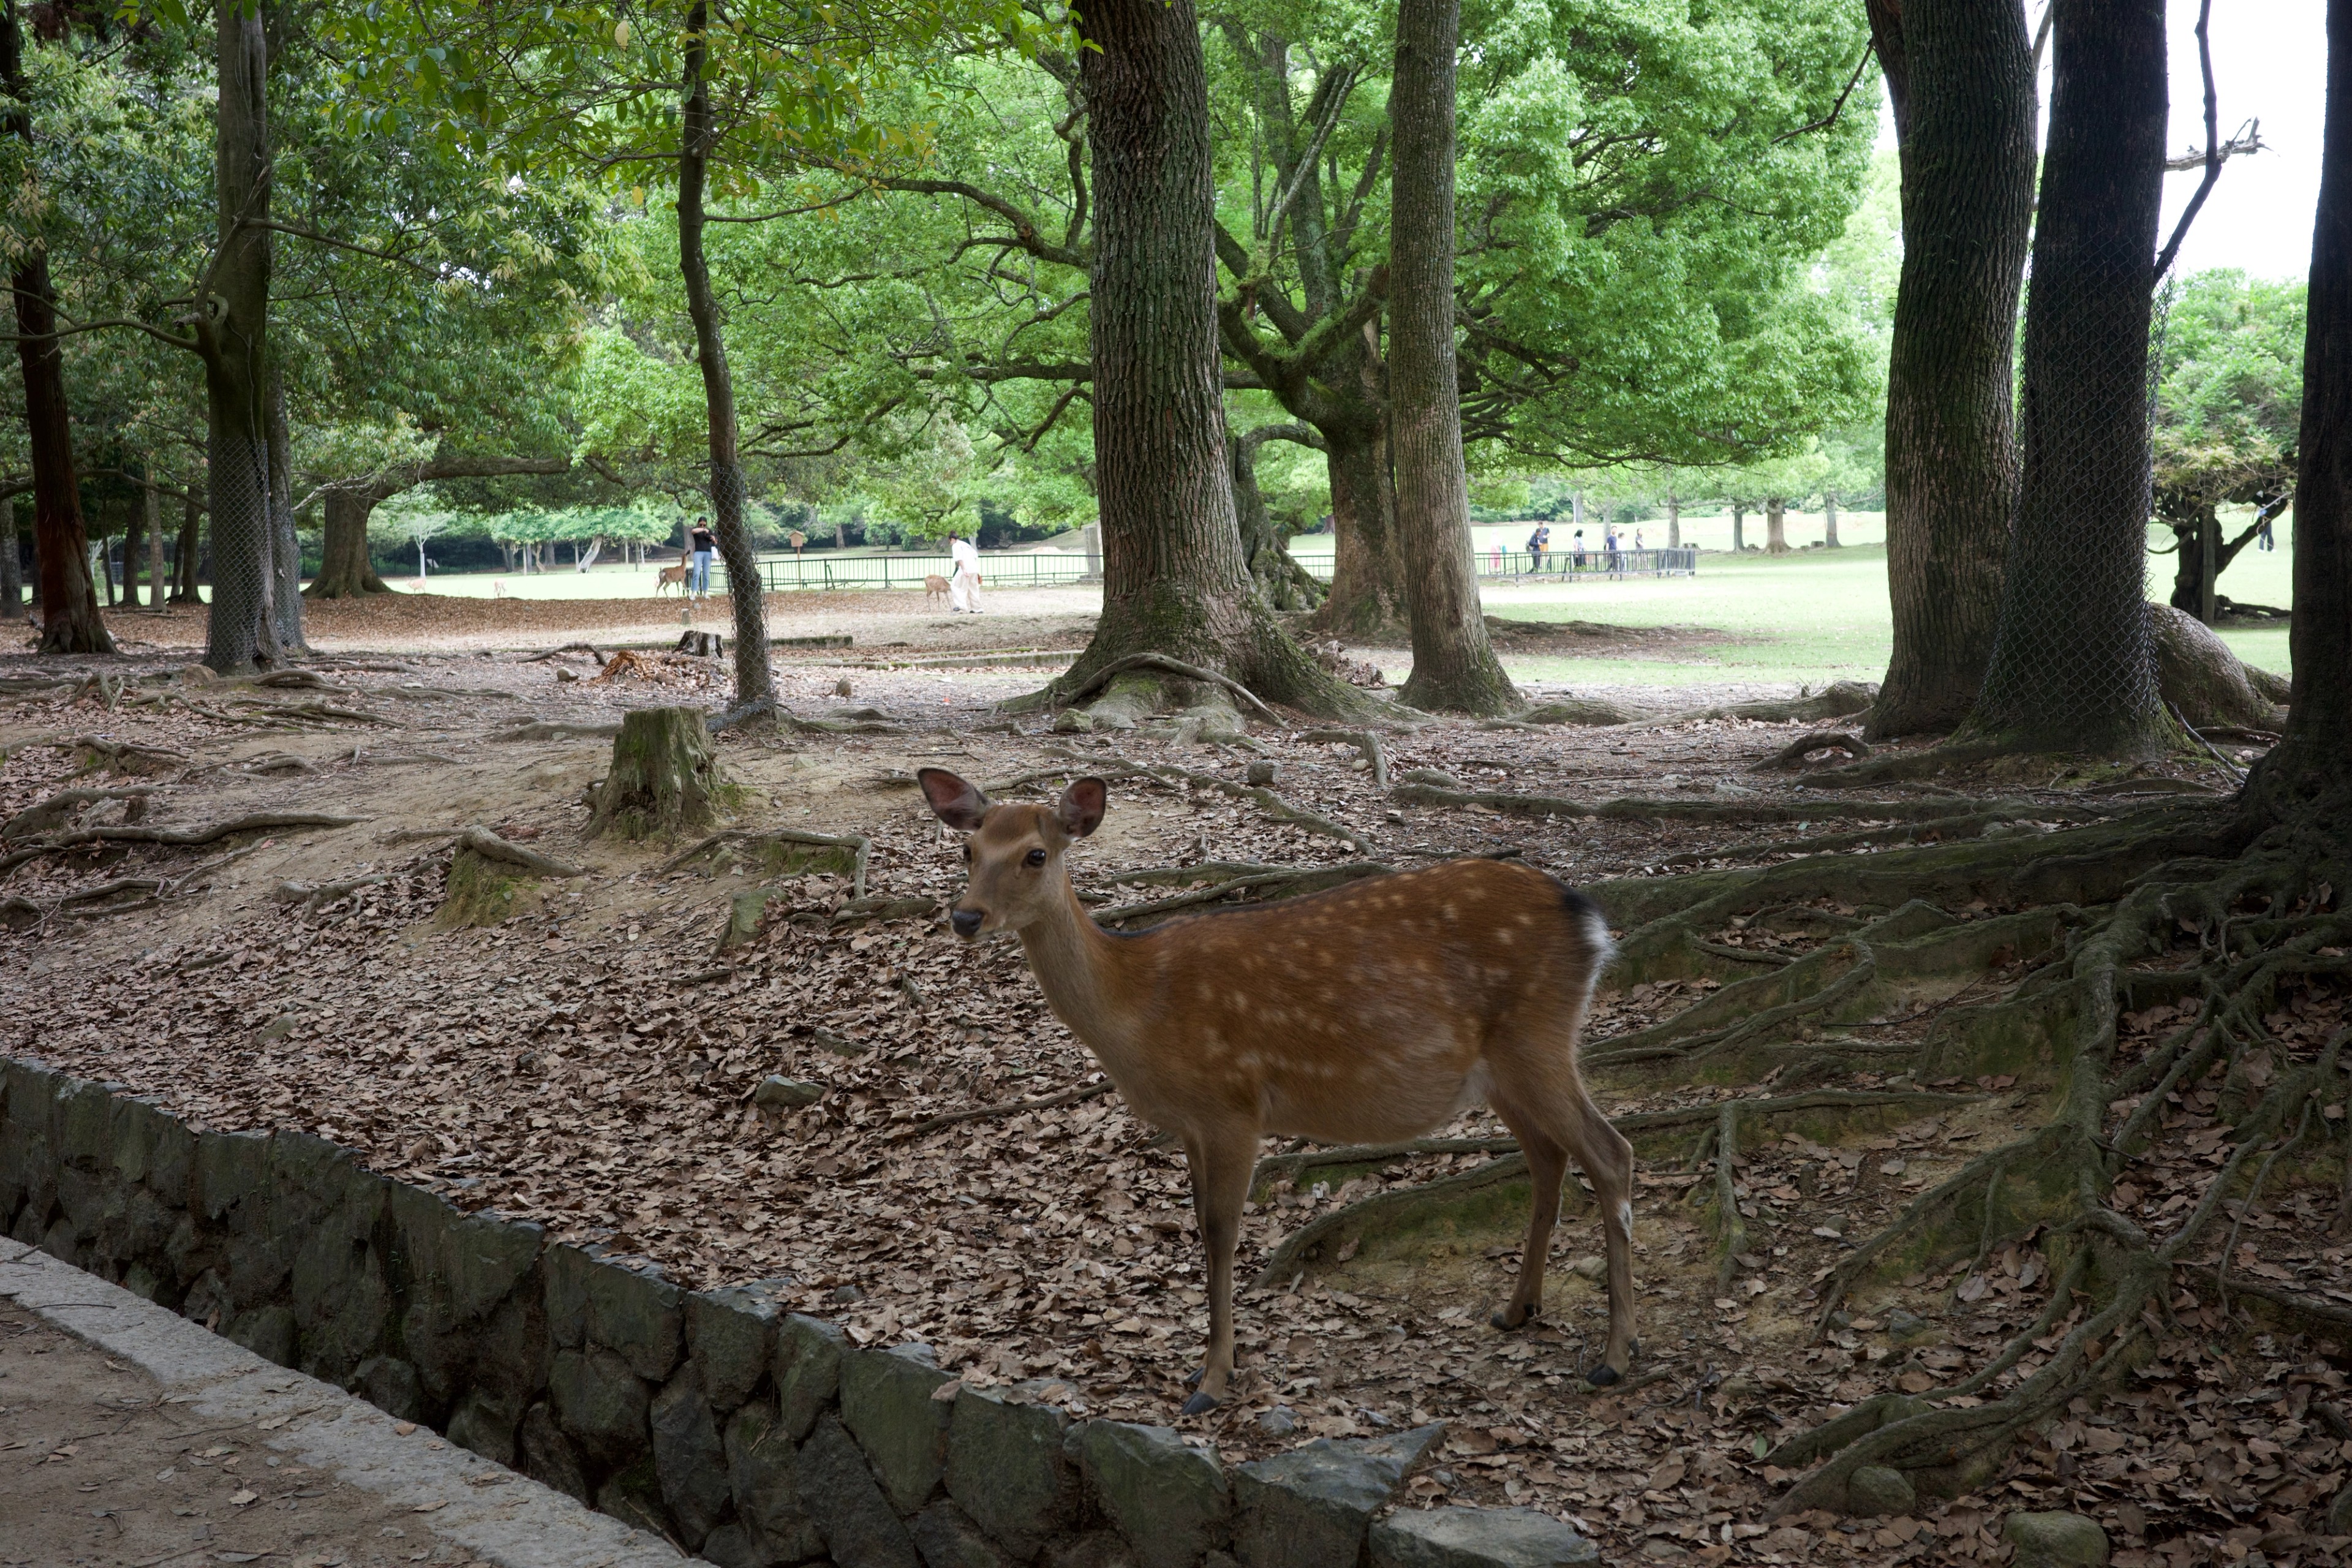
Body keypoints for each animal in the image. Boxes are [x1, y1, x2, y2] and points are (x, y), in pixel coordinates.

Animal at [916, 768, 1635, 1416]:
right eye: (968, 849)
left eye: (1036, 854)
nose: (965, 916)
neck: (1139, 1007)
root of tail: (1593, 925)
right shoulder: (1192, 1123)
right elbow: (1200, 1224)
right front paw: (1211, 1364)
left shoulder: (1233, 1104)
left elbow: (1221, 1231)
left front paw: (1211, 1381)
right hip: (1504, 1069)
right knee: (1549, 1157)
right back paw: (1517, 1310)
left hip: (1537, 1038)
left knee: (1612, 1152)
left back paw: (1614, 1356)